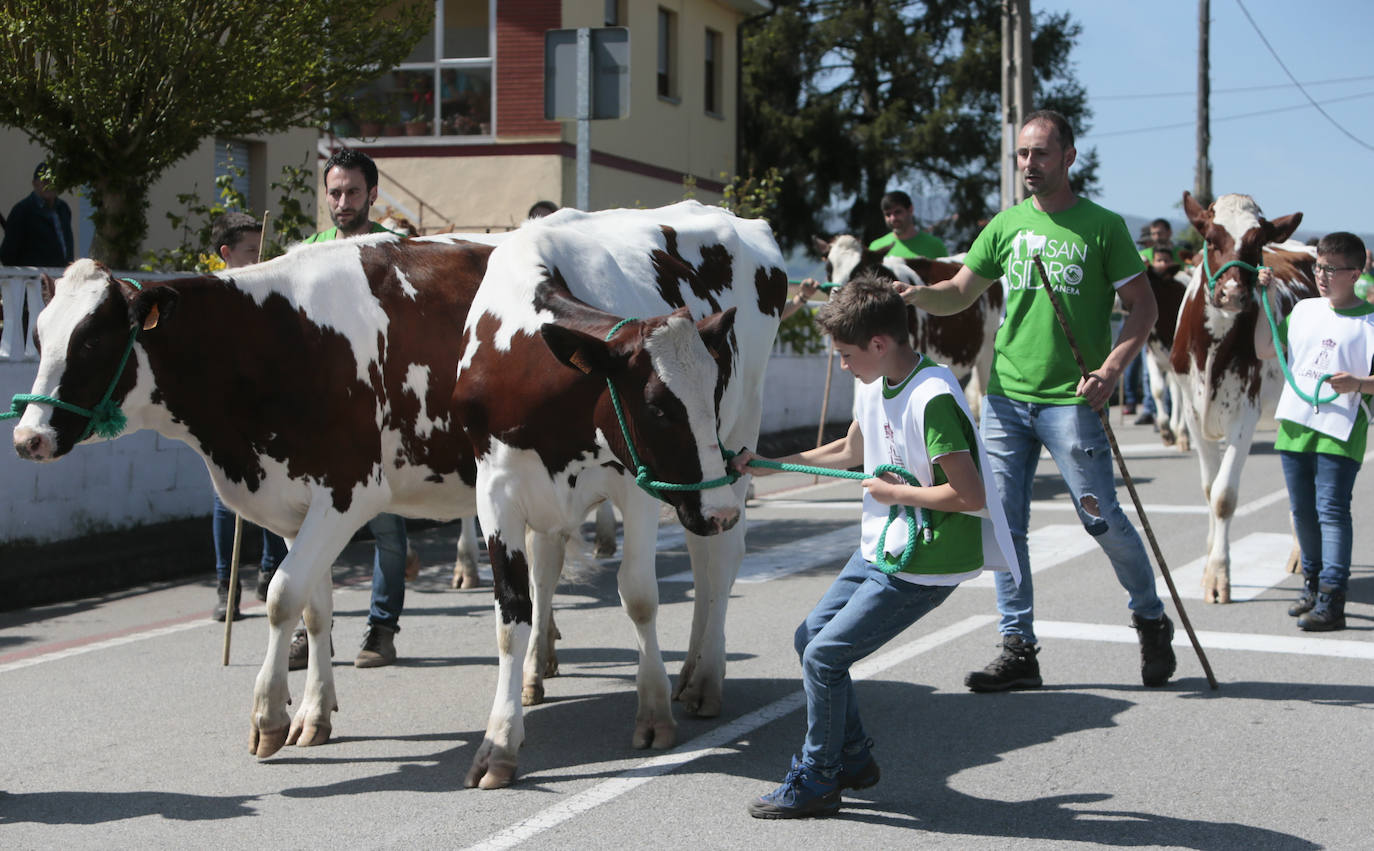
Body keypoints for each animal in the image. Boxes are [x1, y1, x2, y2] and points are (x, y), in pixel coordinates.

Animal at [12, 235, 500, 758]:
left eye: (91, 340)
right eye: (38, 338)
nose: (27, 438)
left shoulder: (349, 491)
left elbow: (281, 595)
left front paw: (268, 716)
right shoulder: (291, 506)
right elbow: (313, 607)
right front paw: (313, 715)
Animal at [458, 203, 791, 786]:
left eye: (712, 394)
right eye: (657, 407)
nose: (721, 511)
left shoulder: (640, 488)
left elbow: (639, 596)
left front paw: (653, 714)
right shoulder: (496, 490)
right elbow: (514, 610)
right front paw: (499, 742)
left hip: (734, 445)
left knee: (721, 559)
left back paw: (706, 679)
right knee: (698, 558)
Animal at [1165, 192, 1313, 604]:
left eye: (1257, 242)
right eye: (1210, 238)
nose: (1232, 294)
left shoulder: (1246, 413)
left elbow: (1224, 496)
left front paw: (1219, 575)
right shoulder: (1192, 412)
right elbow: (1207, 488)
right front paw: (1207, 563)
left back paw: (1301, 552)